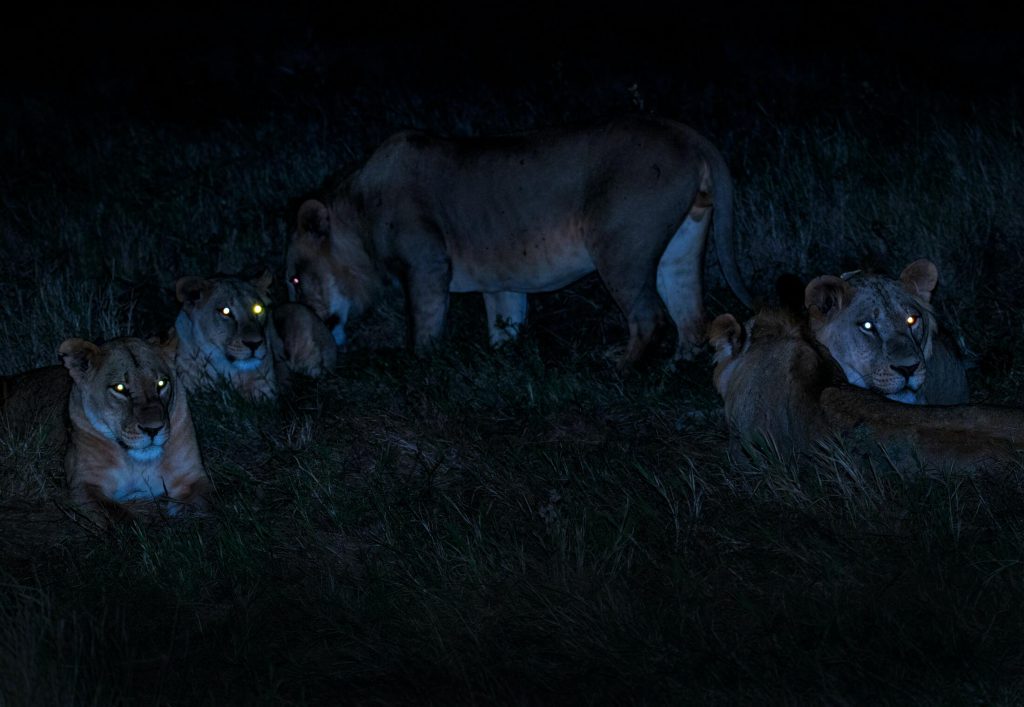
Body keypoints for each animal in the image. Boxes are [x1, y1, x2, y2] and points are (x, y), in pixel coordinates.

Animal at [285, 116, 753, 363]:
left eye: (294, 279)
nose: (303, 326)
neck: (359, 209)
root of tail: (687, 133)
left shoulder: (426, 264)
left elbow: (424, 324)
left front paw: (420, 365)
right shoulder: (501, 282)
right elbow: (504, 322)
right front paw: (502, 360)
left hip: (620, 247)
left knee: (648, 316)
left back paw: (619, 367)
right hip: (682, 244)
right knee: (690, 315)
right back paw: (676, 369)